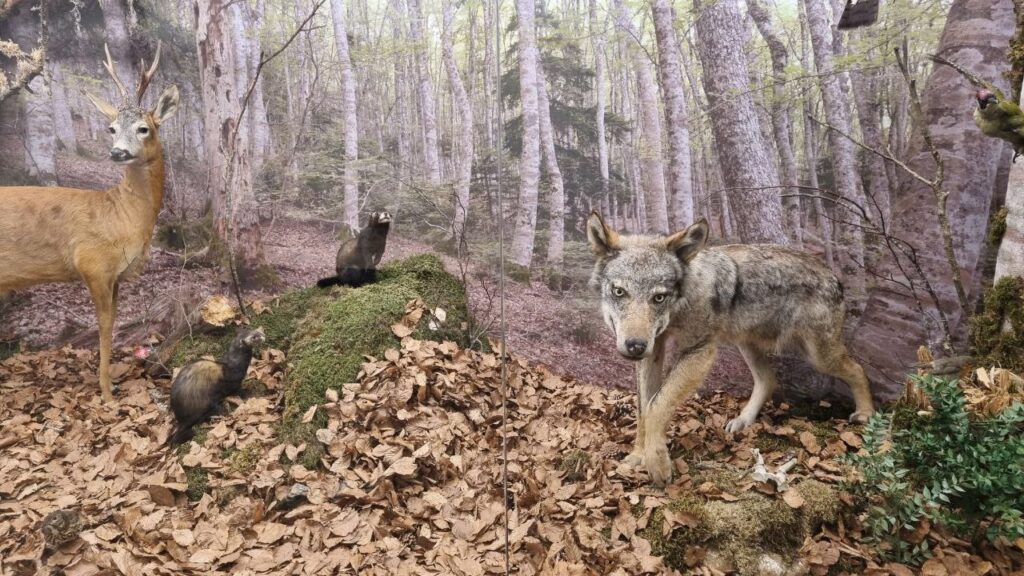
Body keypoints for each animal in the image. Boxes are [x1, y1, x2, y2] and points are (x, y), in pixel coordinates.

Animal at [0, 43, 179, 399]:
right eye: (112, 128)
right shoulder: (93, 264)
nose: (117, 152)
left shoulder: (117, 276)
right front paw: (107, 392)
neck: (123, 215)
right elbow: (105, 326)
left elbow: (114, 320)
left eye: (144, 128)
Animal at [589, 212, 876, 483]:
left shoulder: (699, 351)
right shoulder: (653, 351)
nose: (635, 345)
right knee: (768, 380)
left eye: (658, 297)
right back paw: (743, 421)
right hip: (747, 345)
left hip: (819, 356)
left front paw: (657, 463)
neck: (680, 304)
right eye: (619, 292)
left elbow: (658, 406)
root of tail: (834, 276)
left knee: (859, 369)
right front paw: (639, 455)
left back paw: (866, 413)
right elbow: (644, 409)